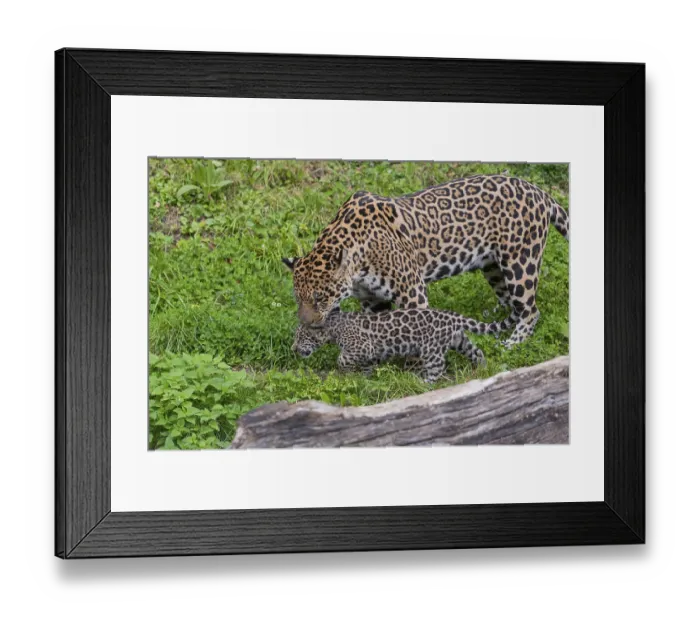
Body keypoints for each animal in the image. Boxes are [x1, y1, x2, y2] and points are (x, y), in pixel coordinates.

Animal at [283, 174, 569, 348]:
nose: (307, 323)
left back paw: (513, 342)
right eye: (298, 298)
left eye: (320, 297)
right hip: (493, 267)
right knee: (510, 301)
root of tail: (539, 191)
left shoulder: (412, 292)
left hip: (520, 262)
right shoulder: (372, 301)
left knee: (531, 309)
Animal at [292, 307, 487, 382]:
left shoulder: (361, 347)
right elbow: (368, 366)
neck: (333, 327)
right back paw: (482, 370)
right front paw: (366, 379)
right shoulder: (370, 353)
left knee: (438, 365)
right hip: (459, 341)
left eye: (301, 337)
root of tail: (452, 316)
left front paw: (347, 371)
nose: (293, 349)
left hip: (430, 348)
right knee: (477, 352)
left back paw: (425, 382)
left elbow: (341, 359)